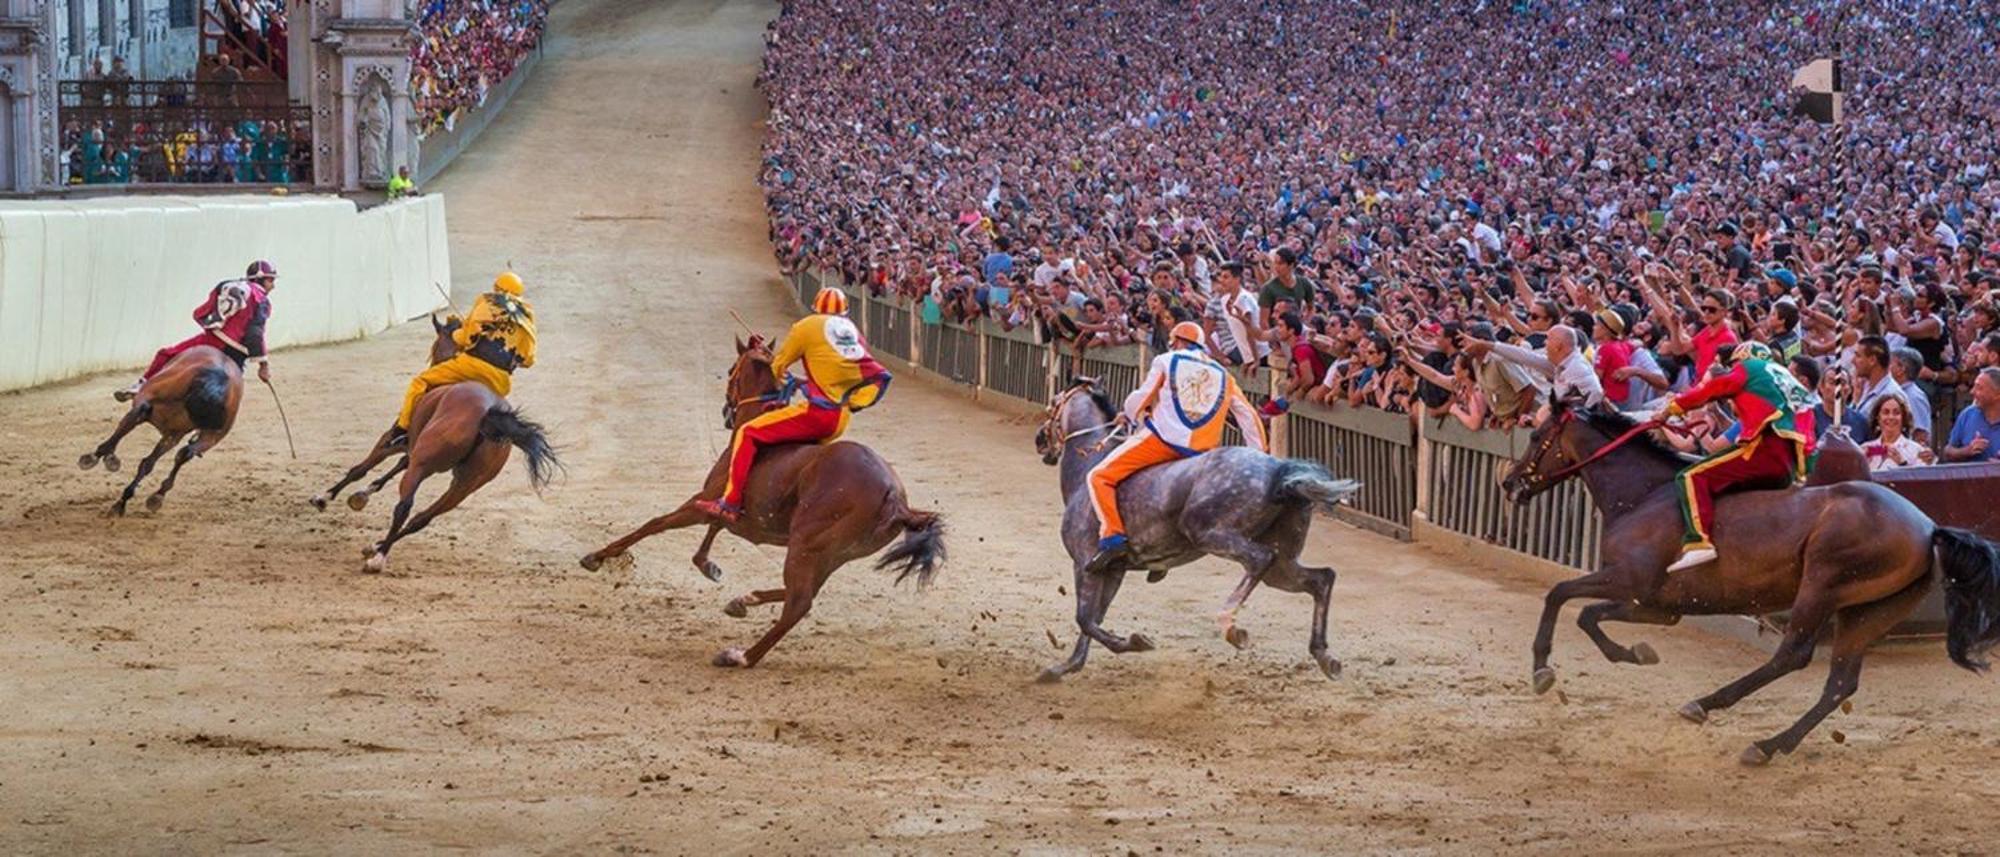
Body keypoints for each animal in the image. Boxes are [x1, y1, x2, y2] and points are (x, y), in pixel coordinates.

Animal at [78, 342, 244, 516]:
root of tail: (217, 379)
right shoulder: (173, 434)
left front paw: (103, 457)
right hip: (207, 436)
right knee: (178, 455)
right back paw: (144, 498)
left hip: (152, 405)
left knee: (136, 421)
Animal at [354, 318, 564, 572]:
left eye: (435, 346)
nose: (431, 362)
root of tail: (488, 413)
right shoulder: (412, 449)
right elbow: (394, 467)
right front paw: (364, 493)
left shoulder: (394, 442)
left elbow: (362, 468)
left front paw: (330, 497)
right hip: (465, 485)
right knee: (421, 518)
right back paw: (377, 547)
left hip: (425, 465)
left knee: (404, 506)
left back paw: (378, 557)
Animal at [580, 334, 944, 668]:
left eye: (731, 371)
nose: (726, 410)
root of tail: (895, 498)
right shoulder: (732, 514)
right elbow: (711, 532)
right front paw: (712, 569)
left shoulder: (701, 501)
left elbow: (655, 524)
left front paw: (597, 556)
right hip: (832, 554)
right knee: (803, 594)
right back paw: (744, 602)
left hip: (806, 544)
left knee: (798, 603)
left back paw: (741, 655)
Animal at [1032, 380, 1360, 684]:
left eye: (1053, 403)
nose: (1039, 440)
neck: (1087, 471)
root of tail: (1279, 472)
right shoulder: (1113, 570)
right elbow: (1094, 618)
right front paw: (1068, 666)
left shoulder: (1085, 563)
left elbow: (1085, 619)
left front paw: (1133, 642)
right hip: (1282, 565)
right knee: (1321, 579)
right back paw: (1324, 656)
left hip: (1211, 535)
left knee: (1259, 559)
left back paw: (1230, 624)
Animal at [1504, 402, 2000, 764]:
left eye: (1536, 436)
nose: (1509, 483)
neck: (1643, 495)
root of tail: (1927, 527)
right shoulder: (1655, 605)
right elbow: (1589, 615)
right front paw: (1635, 652)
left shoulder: (1627, 579)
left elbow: (1561, 596)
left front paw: (1542, 669)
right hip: (1867, 613)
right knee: (1840, 683)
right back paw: (1772, 743)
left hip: (1821, 586)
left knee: (1793, 655)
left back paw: (1711, 707)